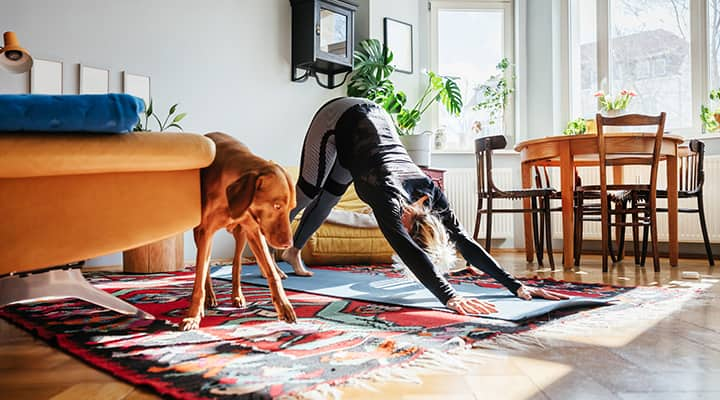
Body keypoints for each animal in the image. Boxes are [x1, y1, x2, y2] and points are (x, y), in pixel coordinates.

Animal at [184, 133, 300, 330]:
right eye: (276, 206)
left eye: (292, 207)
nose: (288, 244)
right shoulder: (206, 233)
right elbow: (200, 276)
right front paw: (193, 316)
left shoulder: (254, 231)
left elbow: (271, 272)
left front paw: (284, 306)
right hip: (198, 234)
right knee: (205, 268)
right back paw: (210, 296)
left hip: (242, 235)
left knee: (236, 264)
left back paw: (237, 295)